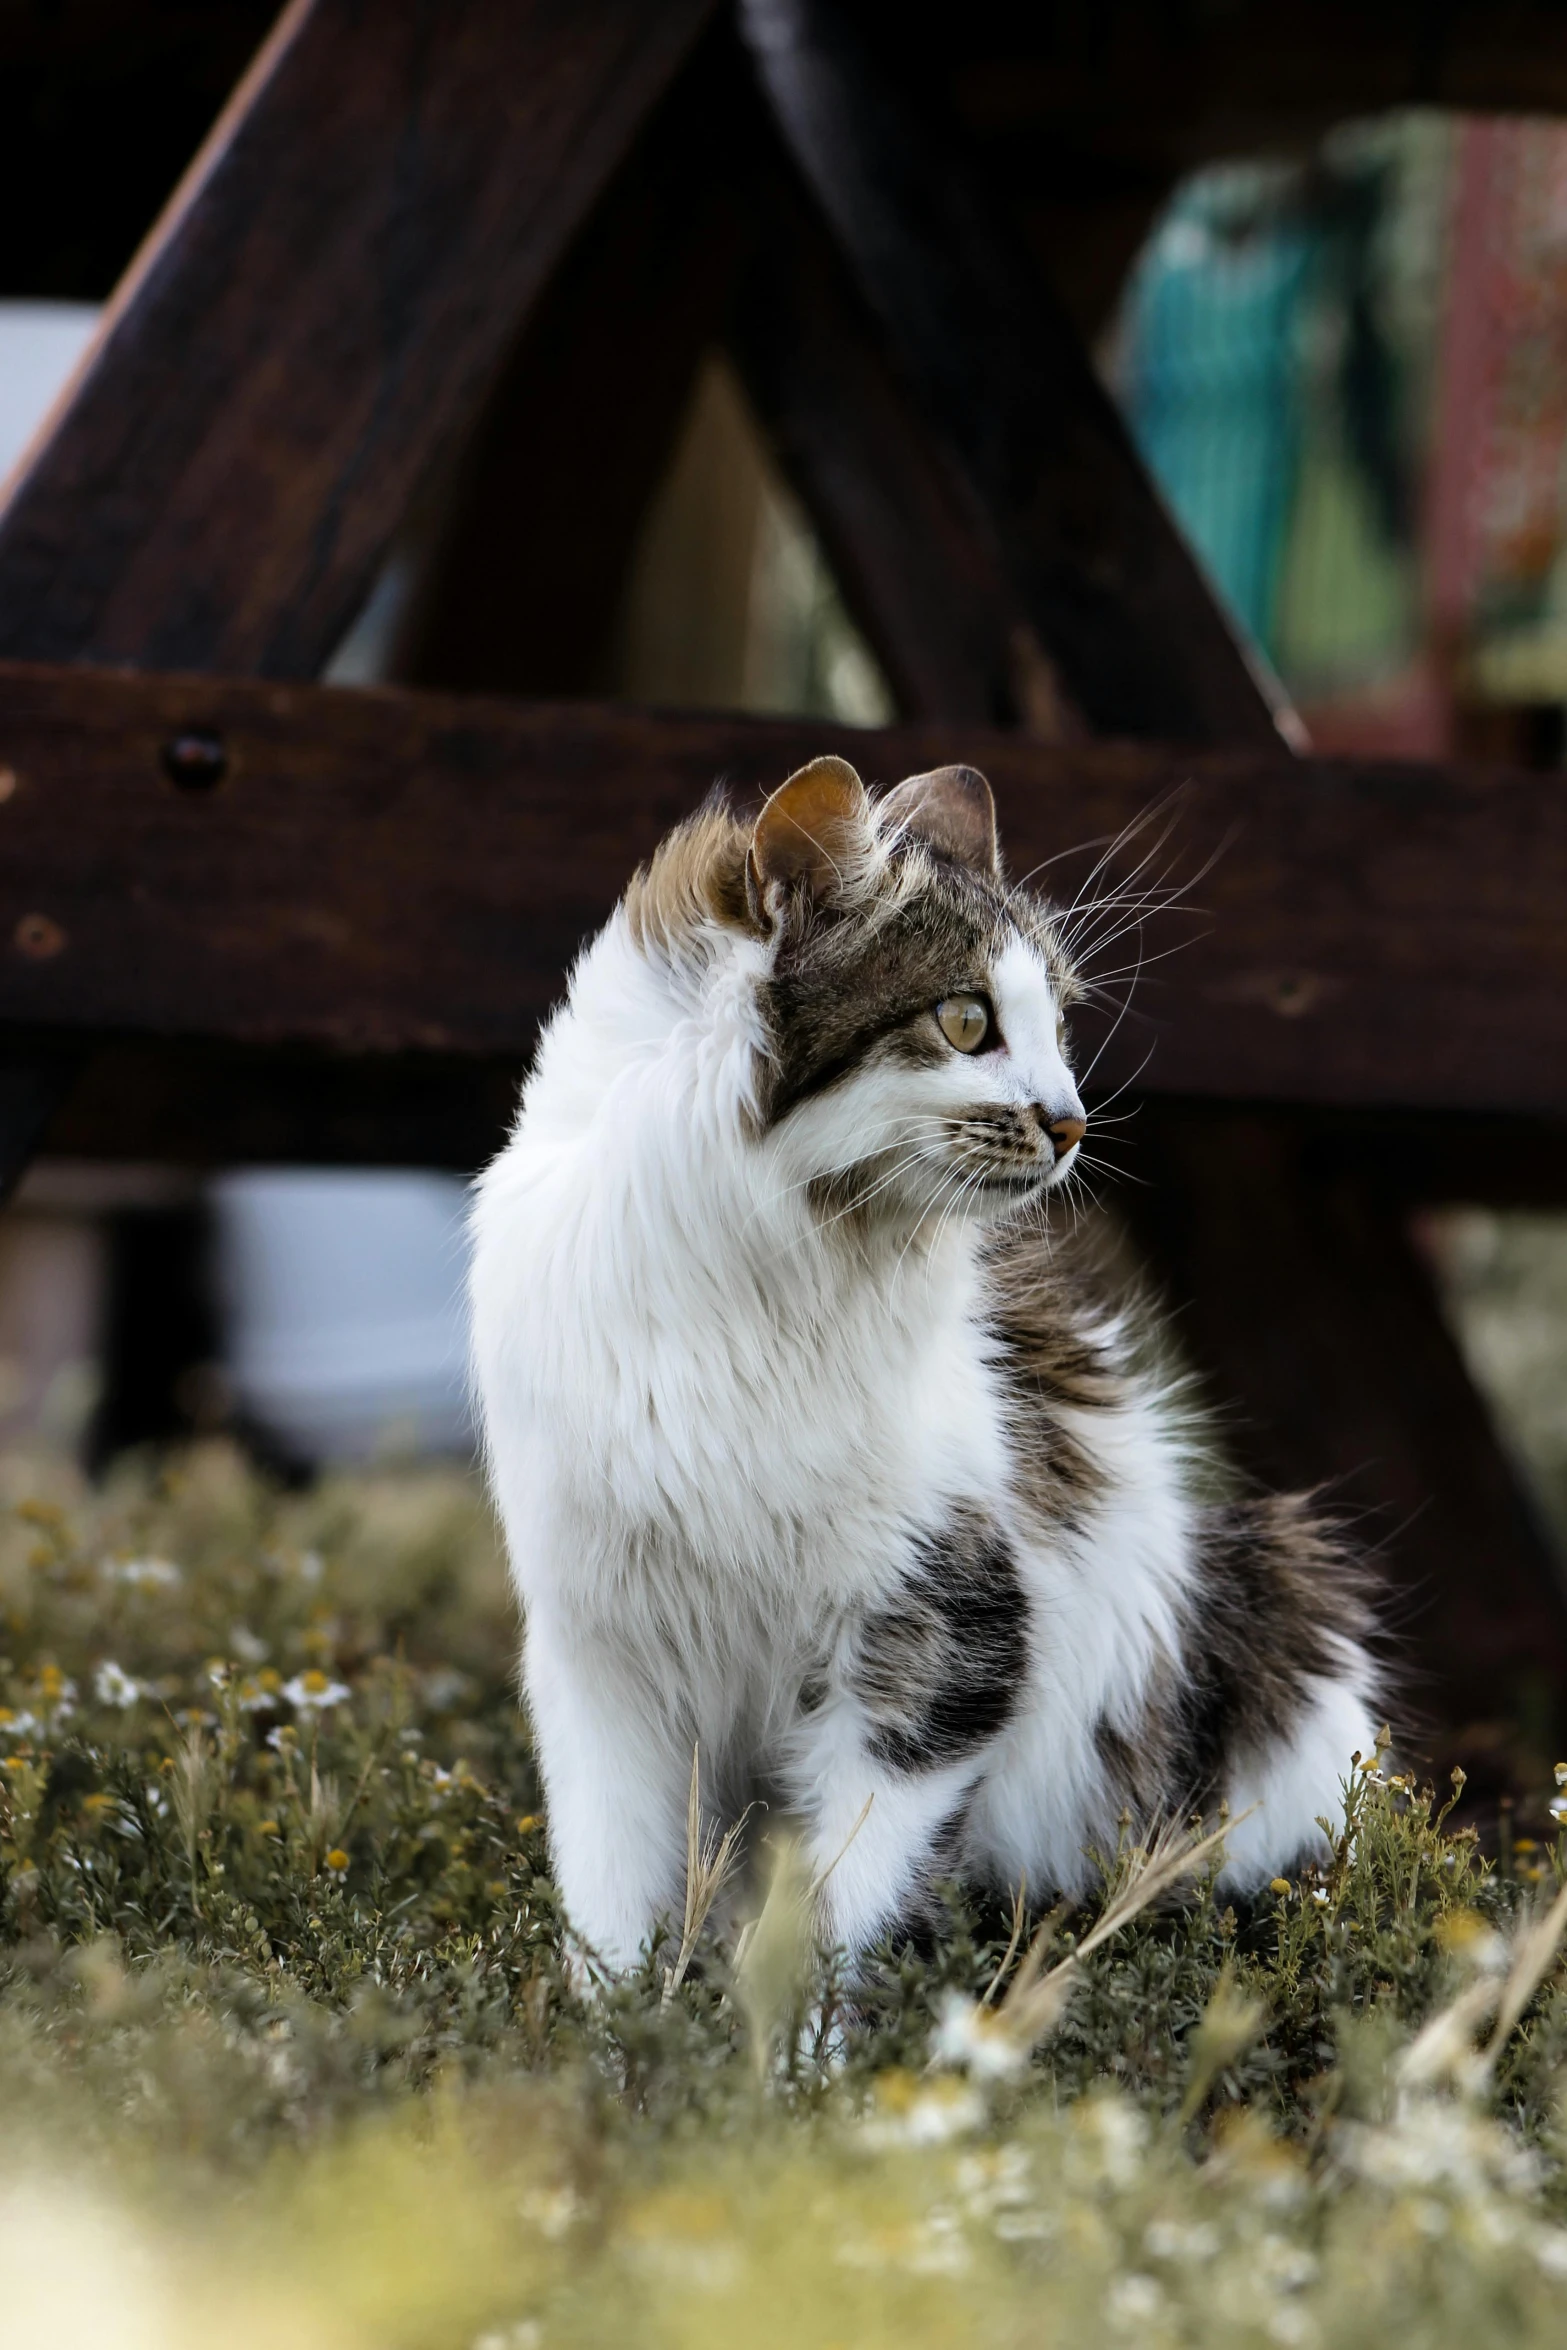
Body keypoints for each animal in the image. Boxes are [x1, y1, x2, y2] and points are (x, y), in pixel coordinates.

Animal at [472, 761, 1381, 1973]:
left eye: (1061, 1024)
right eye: (966, 1022)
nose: (1073, 1122)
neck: (762, 1290)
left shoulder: (937, 1634)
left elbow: (852, 1914)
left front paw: (810, 2032)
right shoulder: (598, 1649)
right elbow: (612, 1902)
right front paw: (620, 2025)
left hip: (1281, 1595)